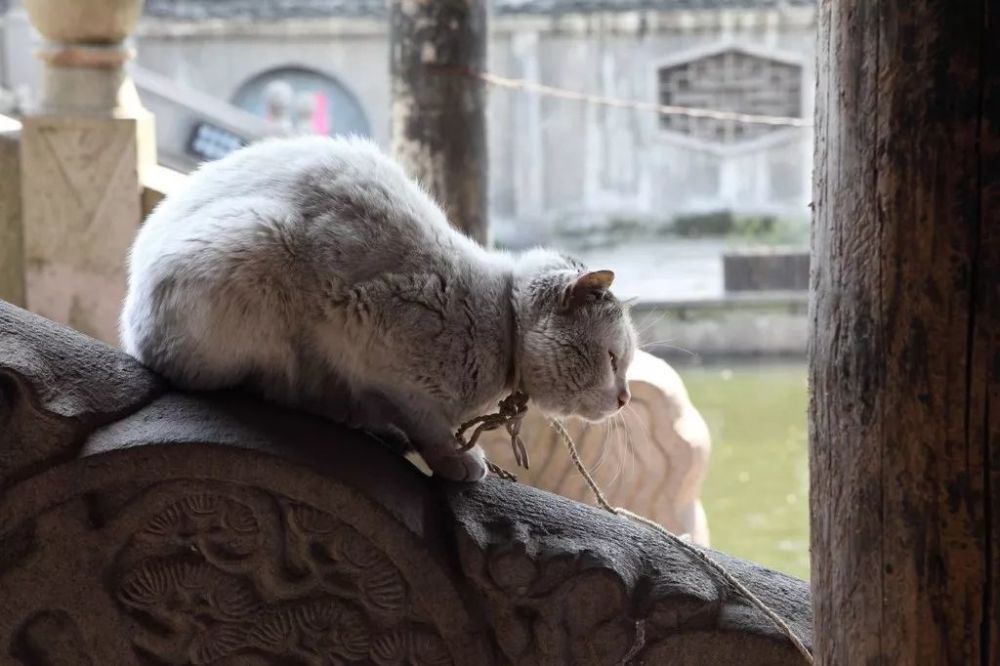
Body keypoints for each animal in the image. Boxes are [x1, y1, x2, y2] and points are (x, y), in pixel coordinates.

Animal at [120, 135, 636, 482]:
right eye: (613, 360)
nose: (626, 397)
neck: (503, 327)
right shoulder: (379, 351)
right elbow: (428, 427)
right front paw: (456, 462)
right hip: (257, 244)